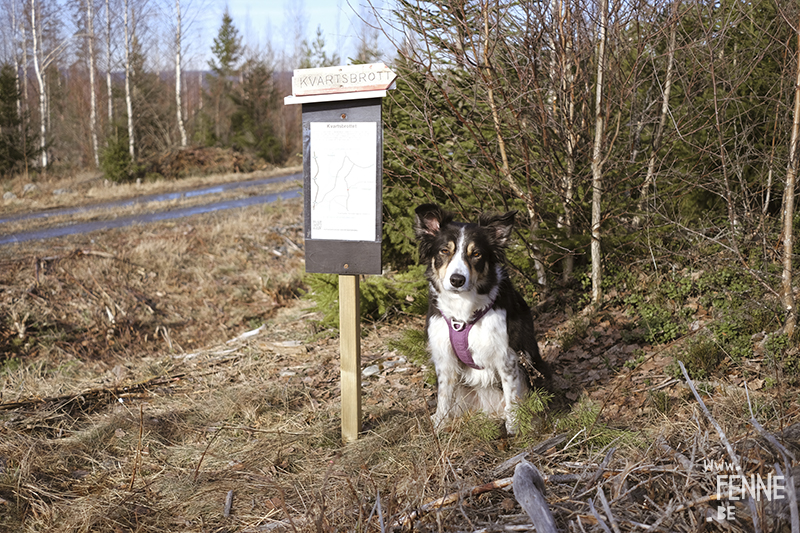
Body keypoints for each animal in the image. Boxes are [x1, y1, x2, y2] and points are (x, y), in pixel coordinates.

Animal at [412, 204, 552, 432]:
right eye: (444, 251)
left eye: (476, 254)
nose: (457, 280)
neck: (462, 311)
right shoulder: (444, 358)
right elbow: (443, 396)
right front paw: (439, 426)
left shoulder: (507, 356)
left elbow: (512, 398)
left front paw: (513, 429)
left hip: (533, 368)